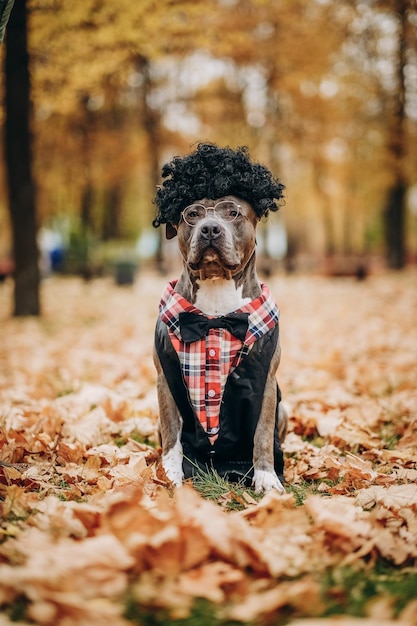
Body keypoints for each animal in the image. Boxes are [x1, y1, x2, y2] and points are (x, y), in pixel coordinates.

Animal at [152, 143, 286, 492]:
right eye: (192, 214)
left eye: (232, 212)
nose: (210, 229)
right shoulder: (165, 379)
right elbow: (171, 434)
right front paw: (169, 473)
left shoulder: (266, 383)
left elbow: (262, 435)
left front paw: (266, 477)